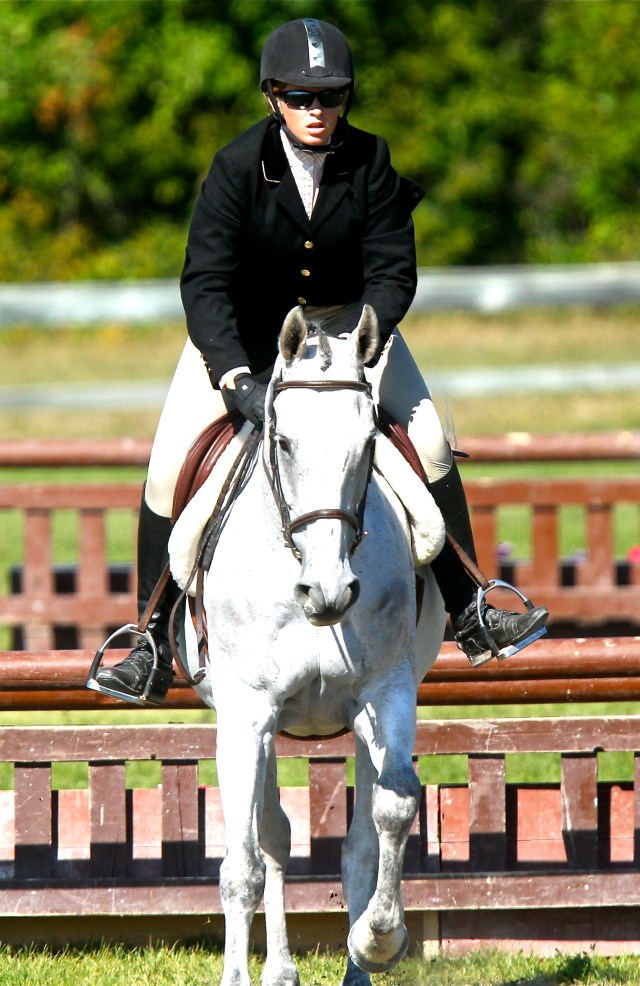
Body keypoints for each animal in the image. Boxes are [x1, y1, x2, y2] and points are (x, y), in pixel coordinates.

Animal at [176, 305, 447, 986]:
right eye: (283, 442)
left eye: (370, 444)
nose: (329, 591)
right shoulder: (247, 713)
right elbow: (243, 867)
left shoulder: (386, 693)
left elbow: (392, 810)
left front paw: (379, 939)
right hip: (253, 726)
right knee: (270, 837)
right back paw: (276, 970)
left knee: (352, 842)